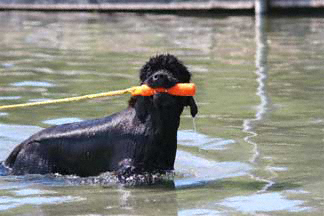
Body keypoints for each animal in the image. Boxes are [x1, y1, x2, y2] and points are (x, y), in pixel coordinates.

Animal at [3, 54, 197, 177]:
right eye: (149, 72)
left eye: (175, 70)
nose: (159, 76)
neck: (152, 124)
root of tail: (23, 144)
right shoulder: (127, 168)